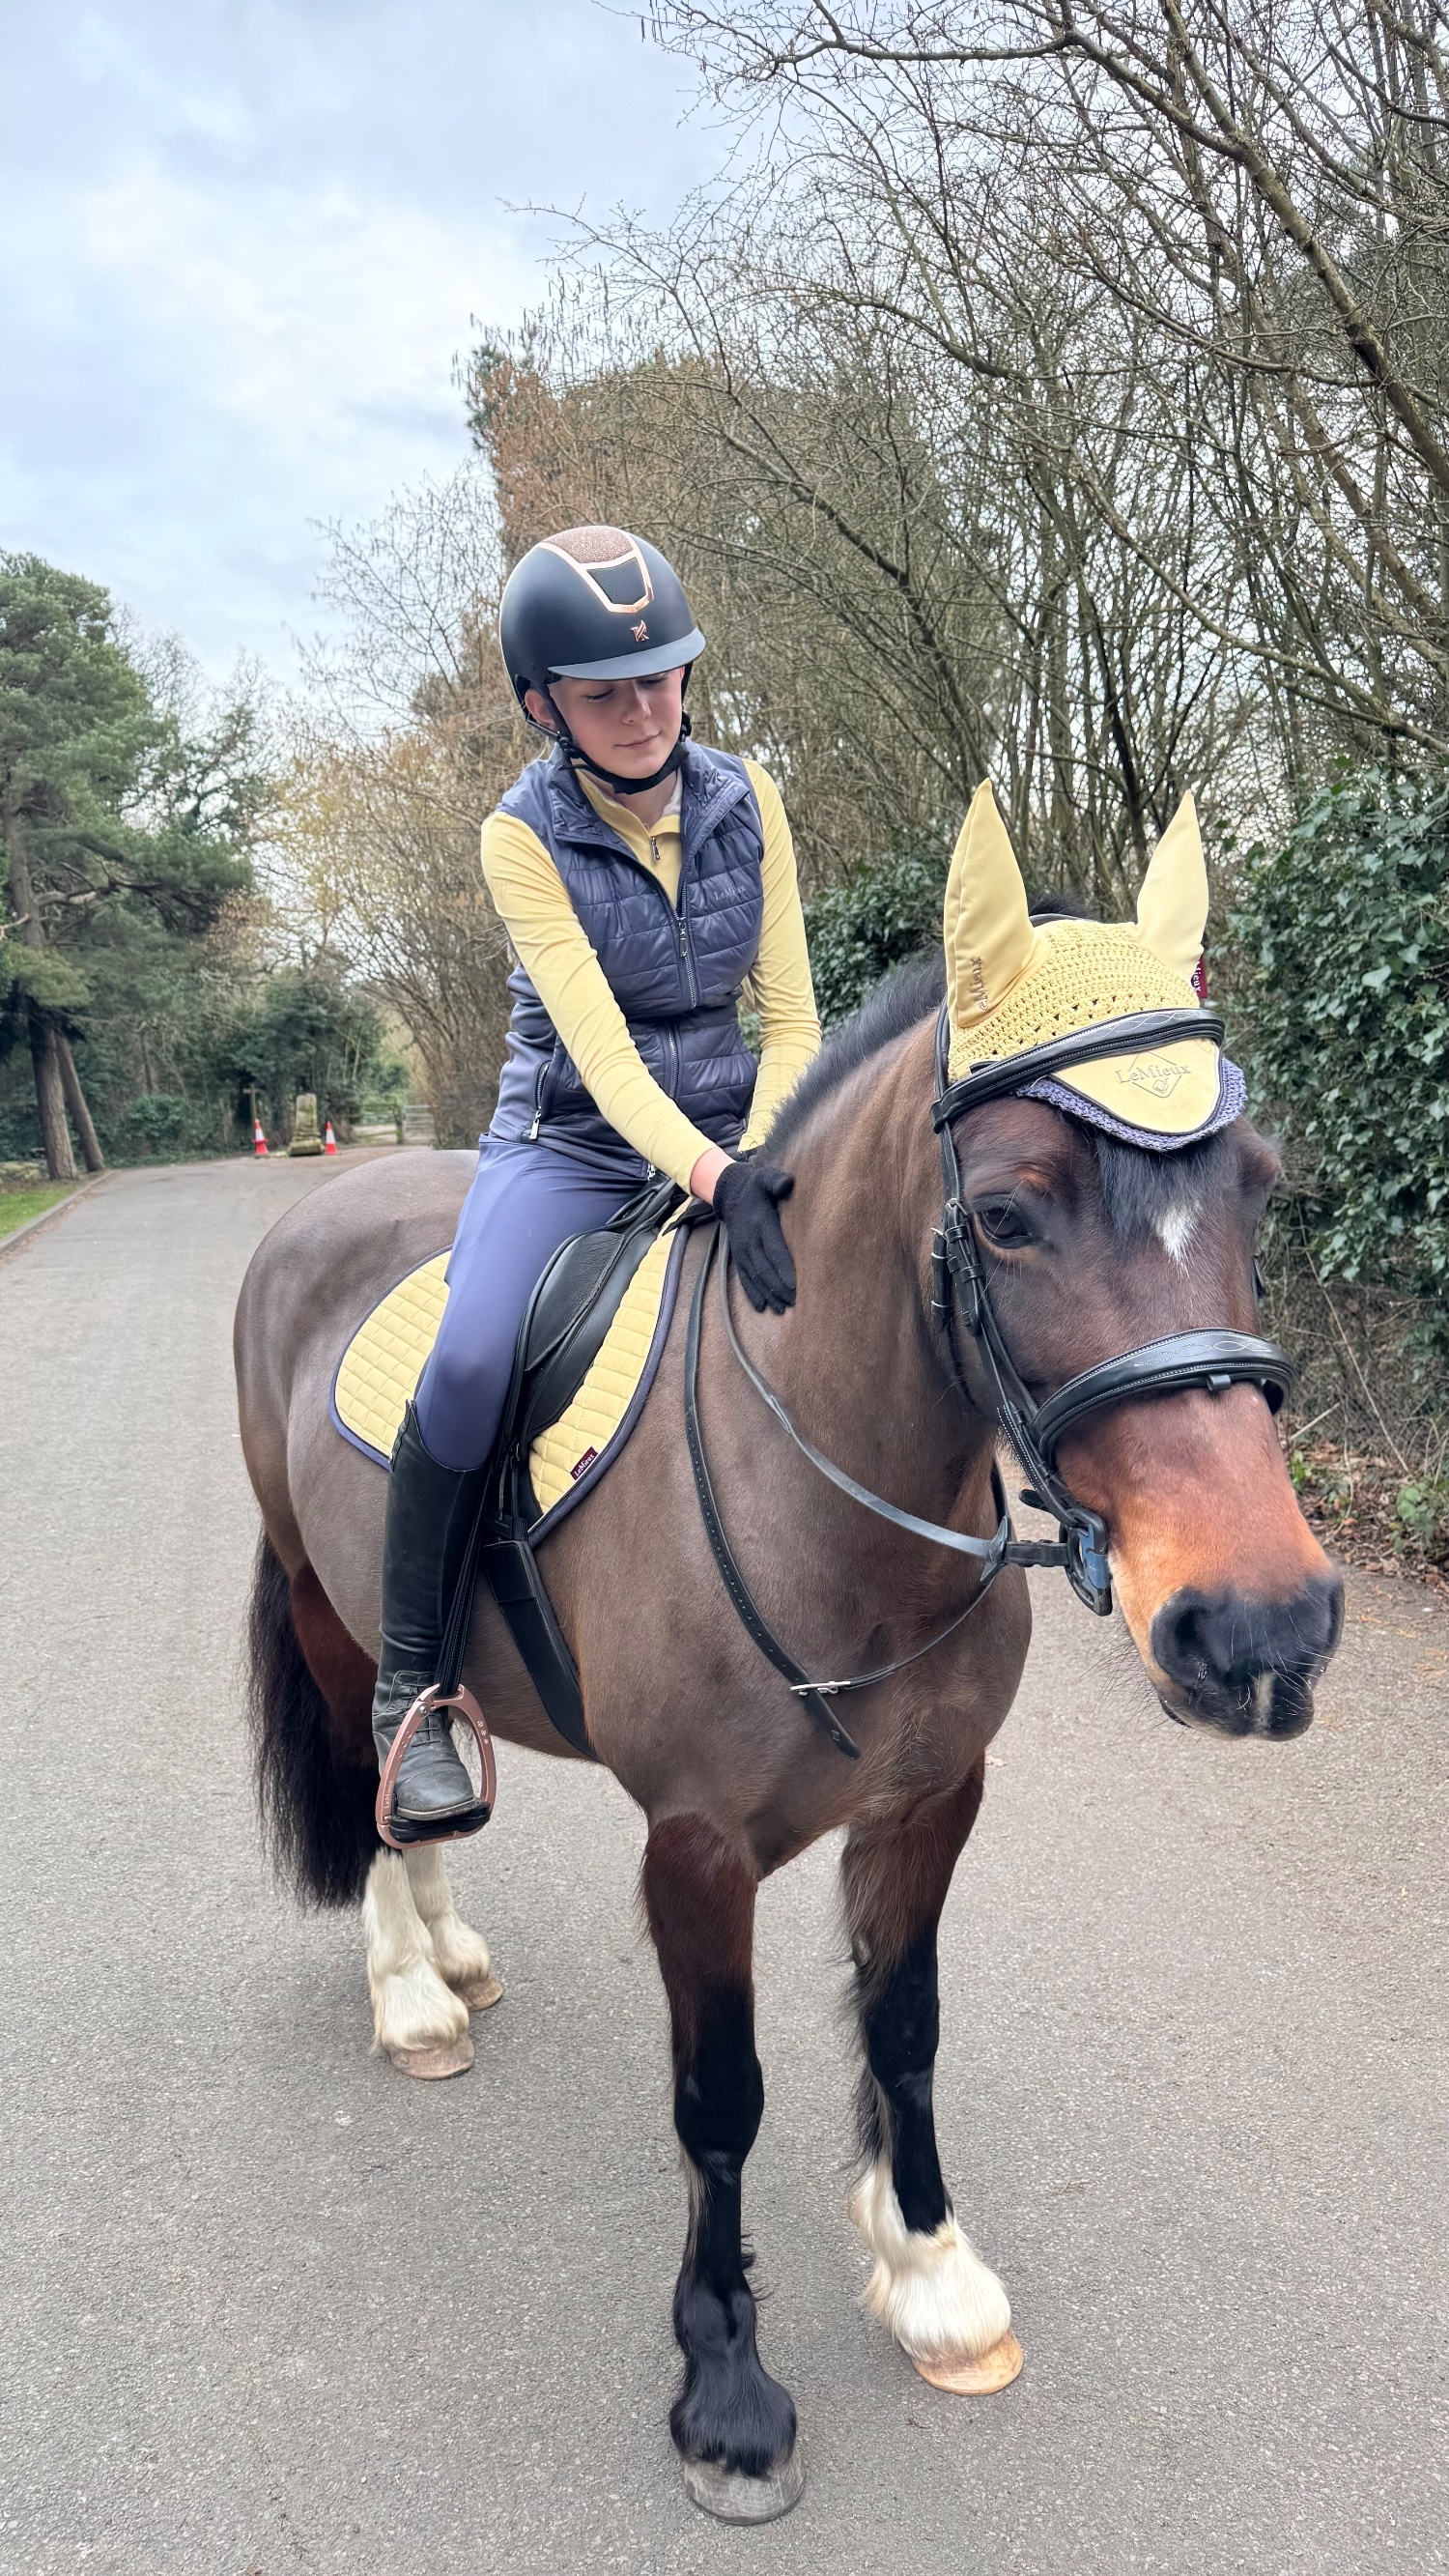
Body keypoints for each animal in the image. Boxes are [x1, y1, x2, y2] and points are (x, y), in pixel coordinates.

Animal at [234, 821, 1342, 2521]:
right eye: (1008, 1214)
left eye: (1260, 1187)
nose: (1262, 1633)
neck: (824, 1497)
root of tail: (321, 1206)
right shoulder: (696, 1852)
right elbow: (721, 2100)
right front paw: (728, 2388)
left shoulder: (930, 1806)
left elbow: (906, 2030)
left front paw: (933, 2273)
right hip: (322, 1598)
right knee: (369, 1779)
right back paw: (411, 1993)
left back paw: (453, 1950)